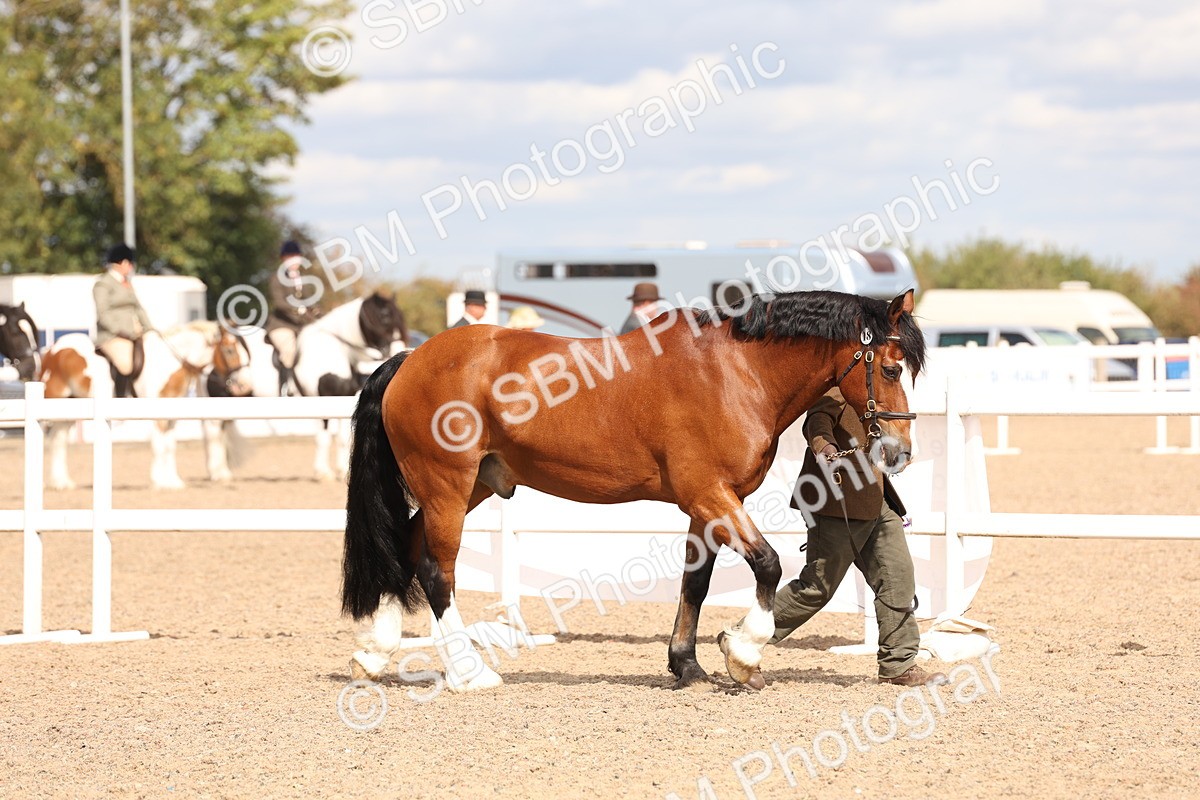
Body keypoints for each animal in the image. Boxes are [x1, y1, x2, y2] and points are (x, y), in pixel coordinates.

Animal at [40, 321, 251, 490]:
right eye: (229, 350)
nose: (243, 386)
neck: (170, 362)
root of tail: (53, 350)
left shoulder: (172, 416)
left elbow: (170, 446)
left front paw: (173, 481)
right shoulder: (158, 415)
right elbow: (159, 445)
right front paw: (159, 482)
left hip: (68, 409)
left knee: (59, 440)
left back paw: (62, 483)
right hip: (52, 400)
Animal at [340, 289, 925, 693]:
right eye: (892, 368)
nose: (899, 453)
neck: (736, 373)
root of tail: (411, 360)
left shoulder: (709, 505)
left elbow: (696, 583)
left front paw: (687, 665)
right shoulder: (709, 494)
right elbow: (767, 564)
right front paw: (744, 655)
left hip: (472, 486)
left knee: (406, 547)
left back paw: (374, 654)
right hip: (447, 486)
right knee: (437, 571)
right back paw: (469, 671)